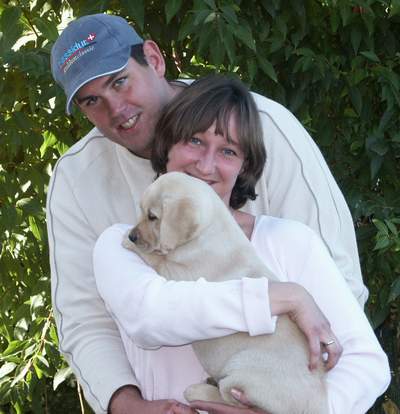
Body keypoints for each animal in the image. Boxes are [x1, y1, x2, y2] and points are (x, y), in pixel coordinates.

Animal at [123, 171, 328, 414]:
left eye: (152, 216)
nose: (133, 235)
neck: (207, 232)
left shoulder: (179, 275)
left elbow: (156, 258)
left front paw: (127, 241)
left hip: (241, 371)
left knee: (229, 396)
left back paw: (199, 391)